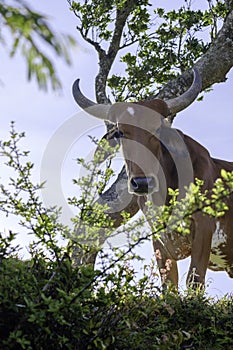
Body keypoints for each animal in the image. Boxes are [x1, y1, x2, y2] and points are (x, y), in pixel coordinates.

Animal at [73, 69, 233, 288]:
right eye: (120, 132)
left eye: (157, 130)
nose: (142, 183)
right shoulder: (158, 240)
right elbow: (169, 286)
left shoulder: (204, 229)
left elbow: (194, 281)